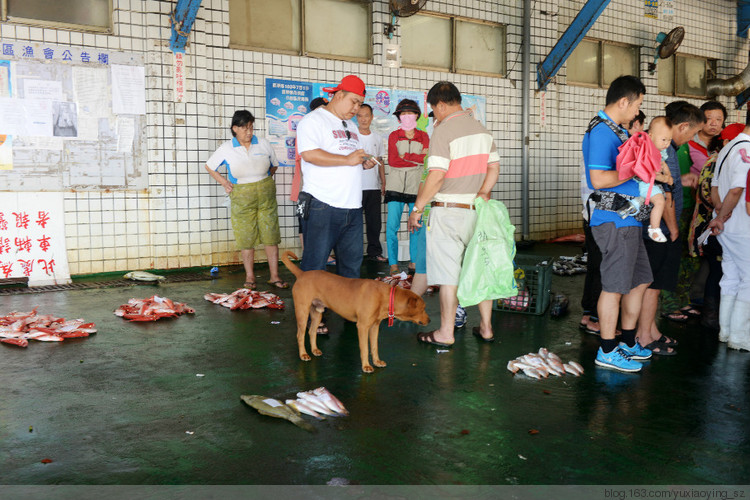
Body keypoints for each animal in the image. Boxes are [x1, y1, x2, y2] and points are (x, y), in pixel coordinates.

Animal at [282, 250, 432, 372]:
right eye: (423, 308)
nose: (430, 320)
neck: (385, 297)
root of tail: (302, 274)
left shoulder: (374, 327)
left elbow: (374, 347)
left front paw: (377, 361)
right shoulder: (363, 327)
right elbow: (365, 348)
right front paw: (366, 366)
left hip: (317, 313)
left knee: (312, 332)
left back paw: (314, 350)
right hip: (302, 312)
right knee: (300, 335)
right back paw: (303, 354)